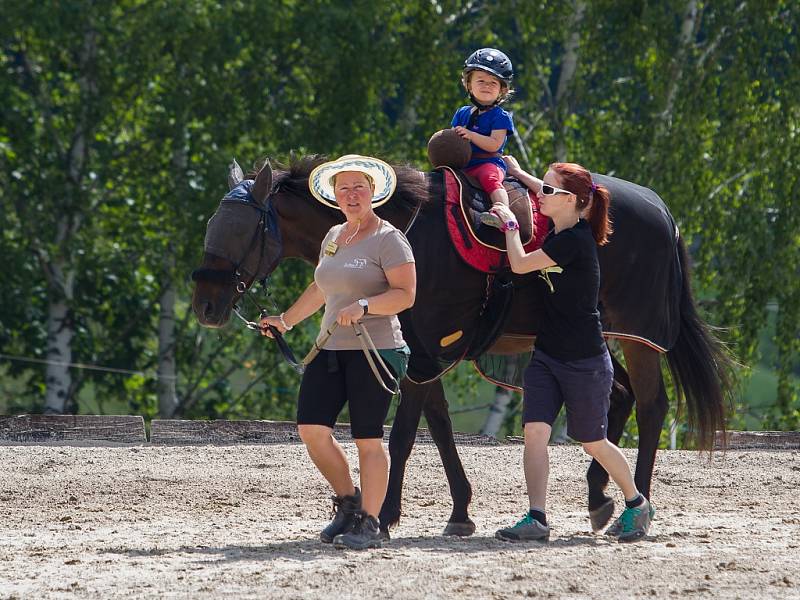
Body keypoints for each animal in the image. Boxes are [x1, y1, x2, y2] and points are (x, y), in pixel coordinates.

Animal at [191, 155, 736, 536]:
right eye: (211, 226)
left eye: (240, 229)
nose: (205, 305)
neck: (408, 231)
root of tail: (662, 210)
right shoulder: (423, 353)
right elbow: (440, 427)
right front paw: (459, 510)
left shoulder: (419, 353)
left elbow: (405, 436)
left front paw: (384, 515)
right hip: (590, 338)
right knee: (616, 398)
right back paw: (599, 496)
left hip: (635, 337)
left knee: (651, 405)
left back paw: (635, 501)